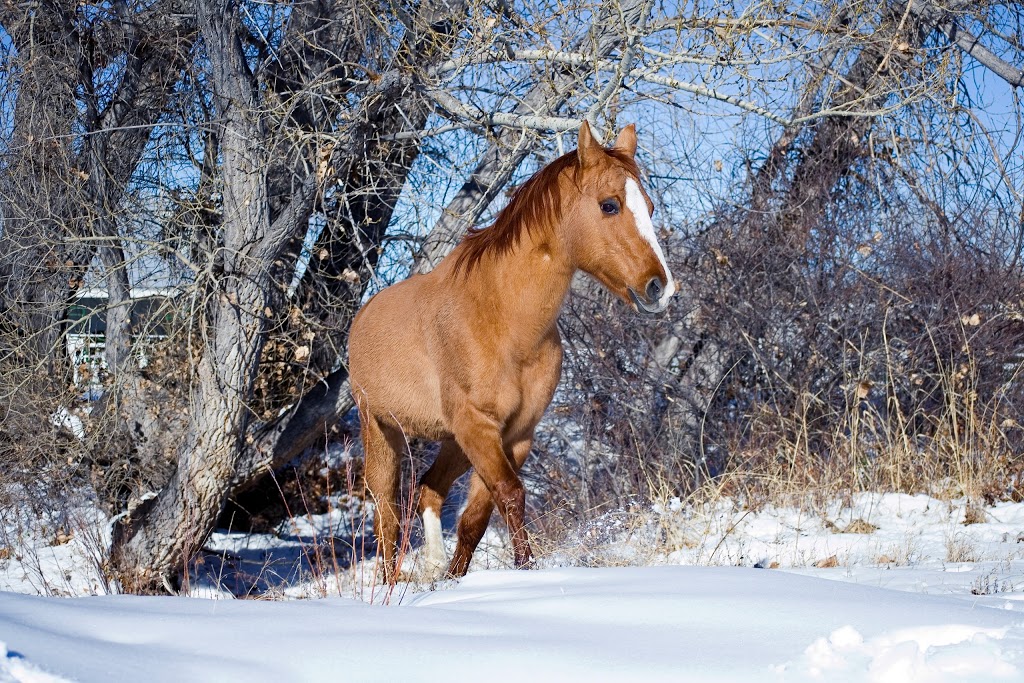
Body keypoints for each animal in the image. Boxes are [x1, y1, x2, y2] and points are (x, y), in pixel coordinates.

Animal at [348, 122, 675, 581]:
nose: (661, 288)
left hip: (452, 441)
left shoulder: (515, 433)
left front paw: (459, 579)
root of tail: (362, 319)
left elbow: (477, 517)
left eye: (650, 206)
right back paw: (390, 584)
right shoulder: (479, 427)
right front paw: (526, 570)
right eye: (609, 205)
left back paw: (432, 567)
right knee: (387, 515)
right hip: (381, 430)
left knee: (429, 489)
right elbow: (510, 495)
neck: (503, 321)